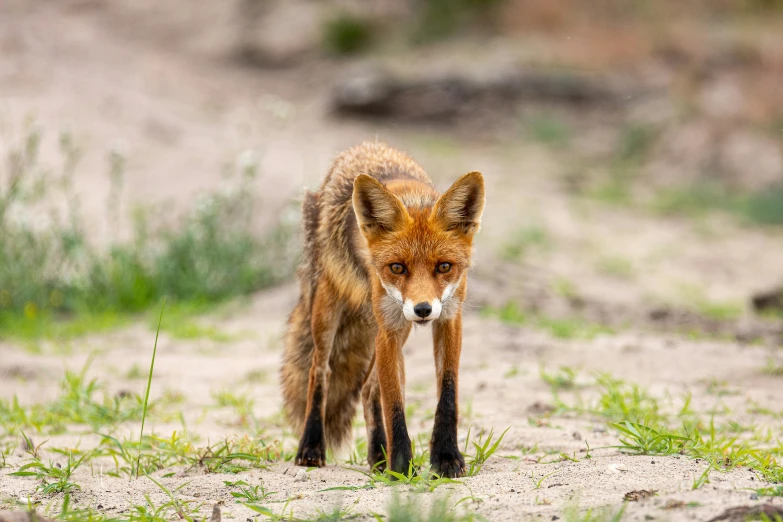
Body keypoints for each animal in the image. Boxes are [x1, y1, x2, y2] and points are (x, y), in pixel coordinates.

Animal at [282, 141, 484, 476]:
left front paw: (445, 457)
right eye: (397, 267)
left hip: (397, 327)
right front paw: (401, 466)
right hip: (329, 310)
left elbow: (447, 394)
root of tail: (362, 146)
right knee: (319, 371)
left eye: (444, 266)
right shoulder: (389, 329)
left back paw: (378, 454)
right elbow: (394, 404)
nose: (423, 309)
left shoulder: (449, 318)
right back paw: (311, 445)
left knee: (367, 388)